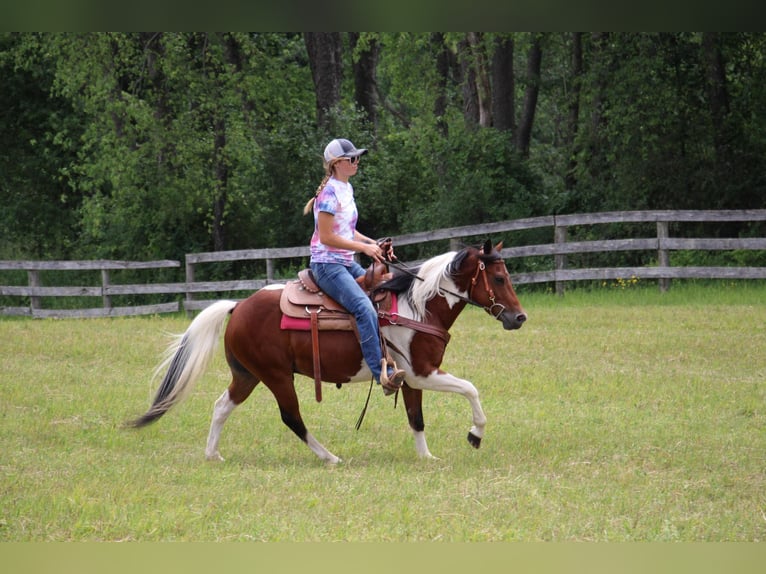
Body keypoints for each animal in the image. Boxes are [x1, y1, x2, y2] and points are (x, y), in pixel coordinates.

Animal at [130, 241, 528, 466]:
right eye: (498, 278)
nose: (519, 318)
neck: (419, 307)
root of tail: (238, 306)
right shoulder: (423, 372)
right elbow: (471, 389)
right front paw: (475, 434)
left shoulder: (411, 377)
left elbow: (416, 418)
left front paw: (427, 457)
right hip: (276, 376)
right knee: (291, 417)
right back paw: (330, 456)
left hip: (247, 374)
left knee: (221, 406)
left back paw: (213, 454)